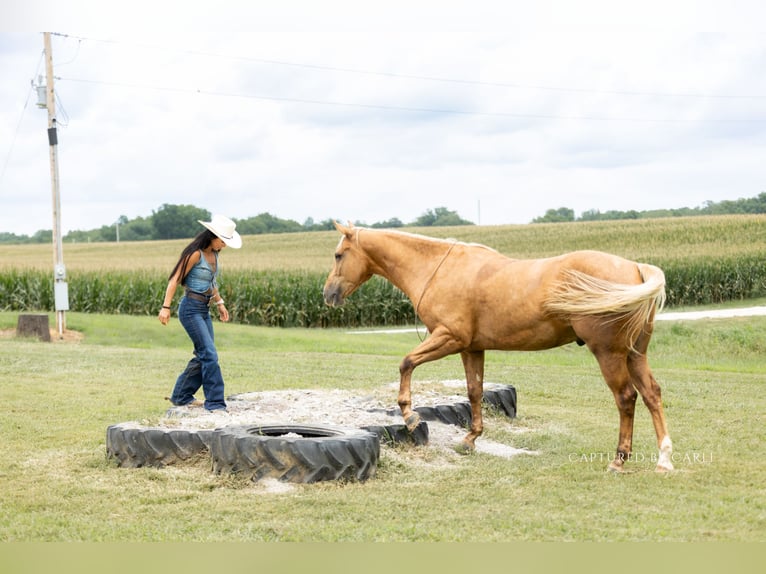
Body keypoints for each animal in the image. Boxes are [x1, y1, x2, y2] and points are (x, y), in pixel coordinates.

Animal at [323, 221, 674, 473]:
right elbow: (474, 391)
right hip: (635, 355)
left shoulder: (448, 338)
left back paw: (619, 459)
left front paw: (410, 416)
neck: (439, 268)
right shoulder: (471, 349)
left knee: (626, 398)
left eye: (339, 255)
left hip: (609, 355)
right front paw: (470, 439)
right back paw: (664, 460)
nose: (328, 294)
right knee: (652, 395)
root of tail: (635, 268)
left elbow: (406, 363)